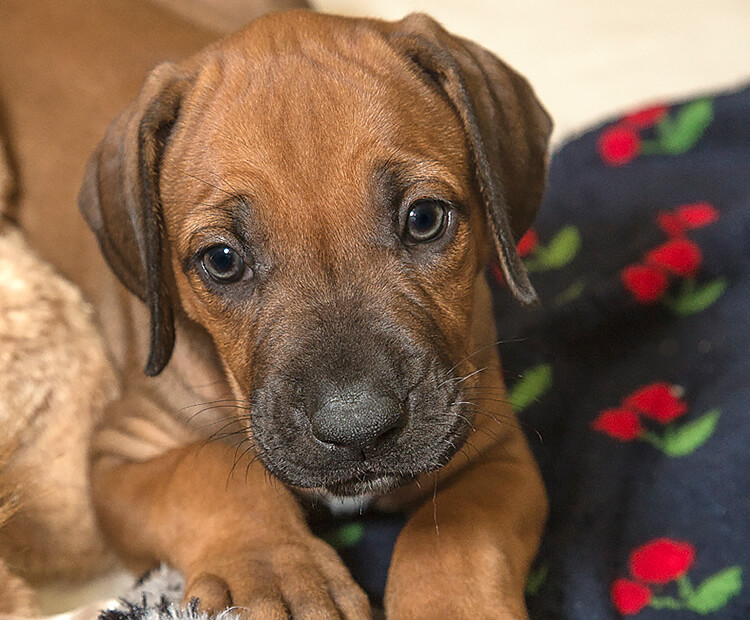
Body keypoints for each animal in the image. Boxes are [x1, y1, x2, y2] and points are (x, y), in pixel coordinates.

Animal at [0, 3, 552, 616]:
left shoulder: (493, 450)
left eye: (425, 219)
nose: (356, 428)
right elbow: (213, 473)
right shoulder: (120, 455)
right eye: (221, 260)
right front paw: (279, 573)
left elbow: (453, 538)